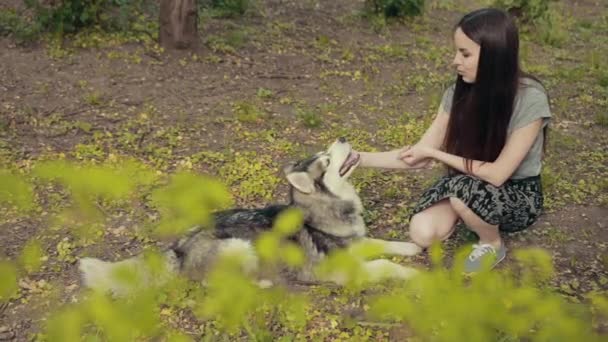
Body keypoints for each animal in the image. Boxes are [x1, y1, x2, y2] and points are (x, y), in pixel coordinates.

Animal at [79, 138, 422, 292]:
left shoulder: (357, 242)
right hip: (240, 247)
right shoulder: (339, 269)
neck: (324, 213)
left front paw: (413, 247)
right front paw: (414, 275)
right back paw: (265, 284)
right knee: (217, 285)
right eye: (326, 160)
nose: (341, 139)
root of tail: (180, 247)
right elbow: (384, 264)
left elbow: (384, 243)